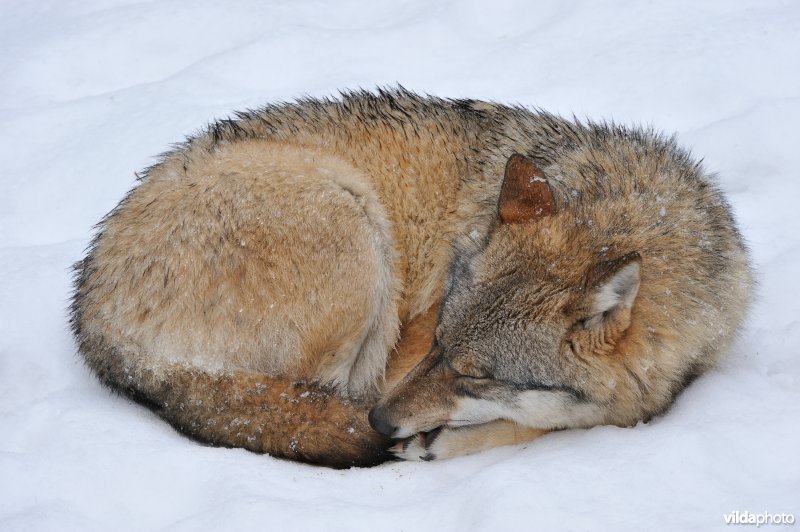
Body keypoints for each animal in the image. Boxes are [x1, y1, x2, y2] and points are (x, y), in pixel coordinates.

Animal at [70, 88, 753, 466]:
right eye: (439, 346)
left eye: (473, 373)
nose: (382, 423)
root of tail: (93, 318)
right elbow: (563, 419)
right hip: (352, 218)